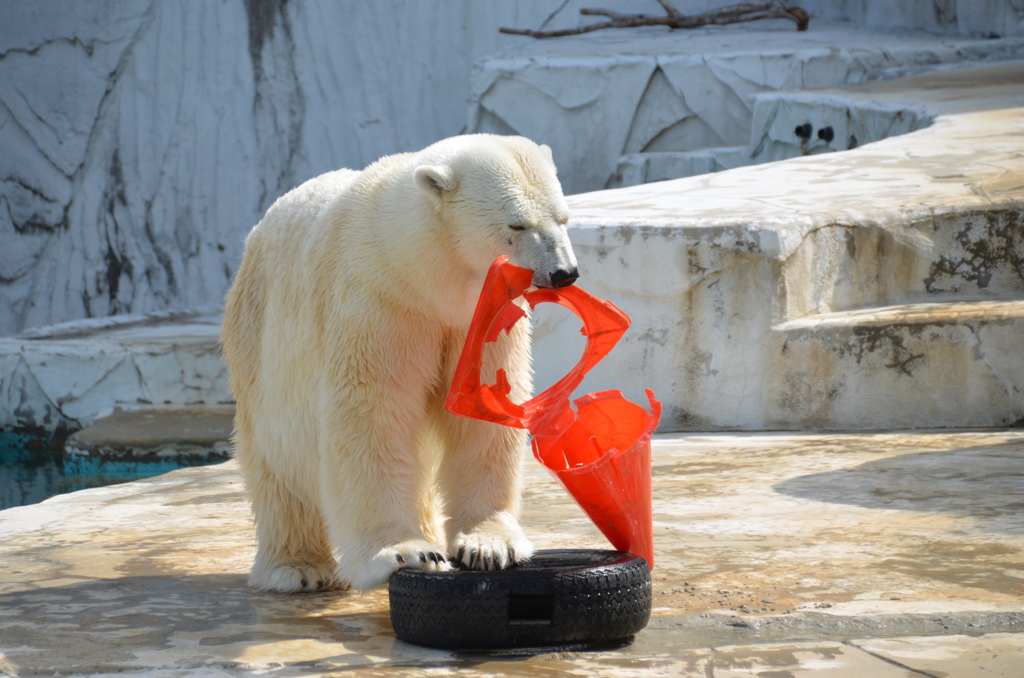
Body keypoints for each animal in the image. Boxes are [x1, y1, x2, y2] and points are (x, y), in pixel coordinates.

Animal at [222, 135, 577, 594]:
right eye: (516, 225)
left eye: (563, 218)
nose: (564, 273)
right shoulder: (381, 304)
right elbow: (372, 415)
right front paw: (406, 552)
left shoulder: (478, 317)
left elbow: (485, 405)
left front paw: (488, 545)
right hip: (259, 339)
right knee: (277, 458)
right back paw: (298, 567)